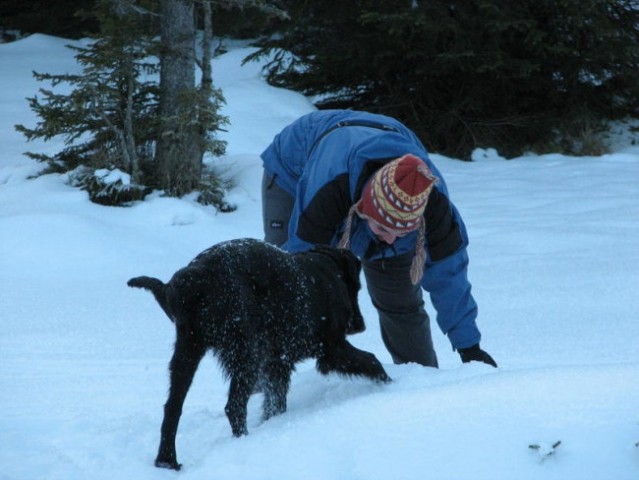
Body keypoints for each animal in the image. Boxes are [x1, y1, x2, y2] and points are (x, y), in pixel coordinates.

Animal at [127, 238, 390, 470]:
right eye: (357, 287)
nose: (359, 325)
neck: (326, 268)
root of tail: (191, 280)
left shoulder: (278, 364)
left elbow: (275, 403)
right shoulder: (332, 348)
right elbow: (372, 360)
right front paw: (390, 384)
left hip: (187, 352)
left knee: (172, 408)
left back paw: (167, 461)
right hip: (245, 353)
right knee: (233, 406)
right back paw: (244, 442)